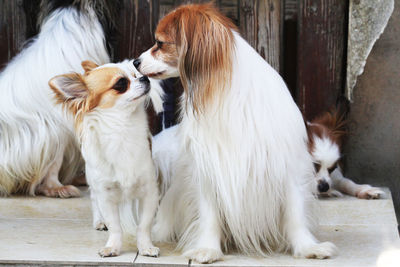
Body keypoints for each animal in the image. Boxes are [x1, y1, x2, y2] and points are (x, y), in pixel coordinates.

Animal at [49, 60, 162, 258]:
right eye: (121, 83)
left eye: (135, 74)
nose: (145, 78)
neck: (123, 129)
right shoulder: (106, 194)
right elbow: (115, 225)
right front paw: (113, 247)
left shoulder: (149, 191)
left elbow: (144, 225)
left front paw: (146, 246)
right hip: (93, 180)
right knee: (94, 199)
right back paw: (99, 221)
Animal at [136, 3, 336, 264]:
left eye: (160, 43)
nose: (135, 62)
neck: (220, 90)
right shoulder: (208, 167)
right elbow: (209, 214)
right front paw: (208, 248)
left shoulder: (287, 166)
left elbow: (295, 213)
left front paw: (308, 247)